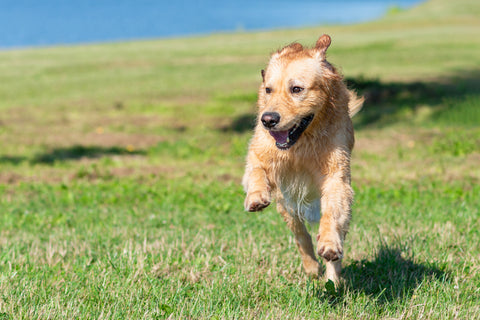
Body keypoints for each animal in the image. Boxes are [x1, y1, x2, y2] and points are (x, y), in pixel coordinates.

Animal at [242, 35, 362, 284]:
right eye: (268, 90)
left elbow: (331, 216)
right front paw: (256, 197)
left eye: (296, 89)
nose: (268, 119)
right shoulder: (258, 152)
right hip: (286, 204)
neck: (300, 145)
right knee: (300, 234)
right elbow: (256, 169)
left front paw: (329, 245)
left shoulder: (337, 178)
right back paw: (312, 268)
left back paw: (333, 279)